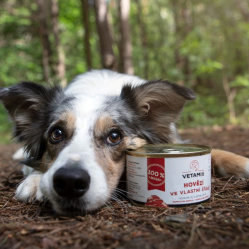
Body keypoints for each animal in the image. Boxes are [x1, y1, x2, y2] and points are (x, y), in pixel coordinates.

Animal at [0, 69, 249, 214]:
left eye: (114, 135)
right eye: (57, 133)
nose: (69, 181)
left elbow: (215, 151)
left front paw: (243, 162)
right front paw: (35, 182)